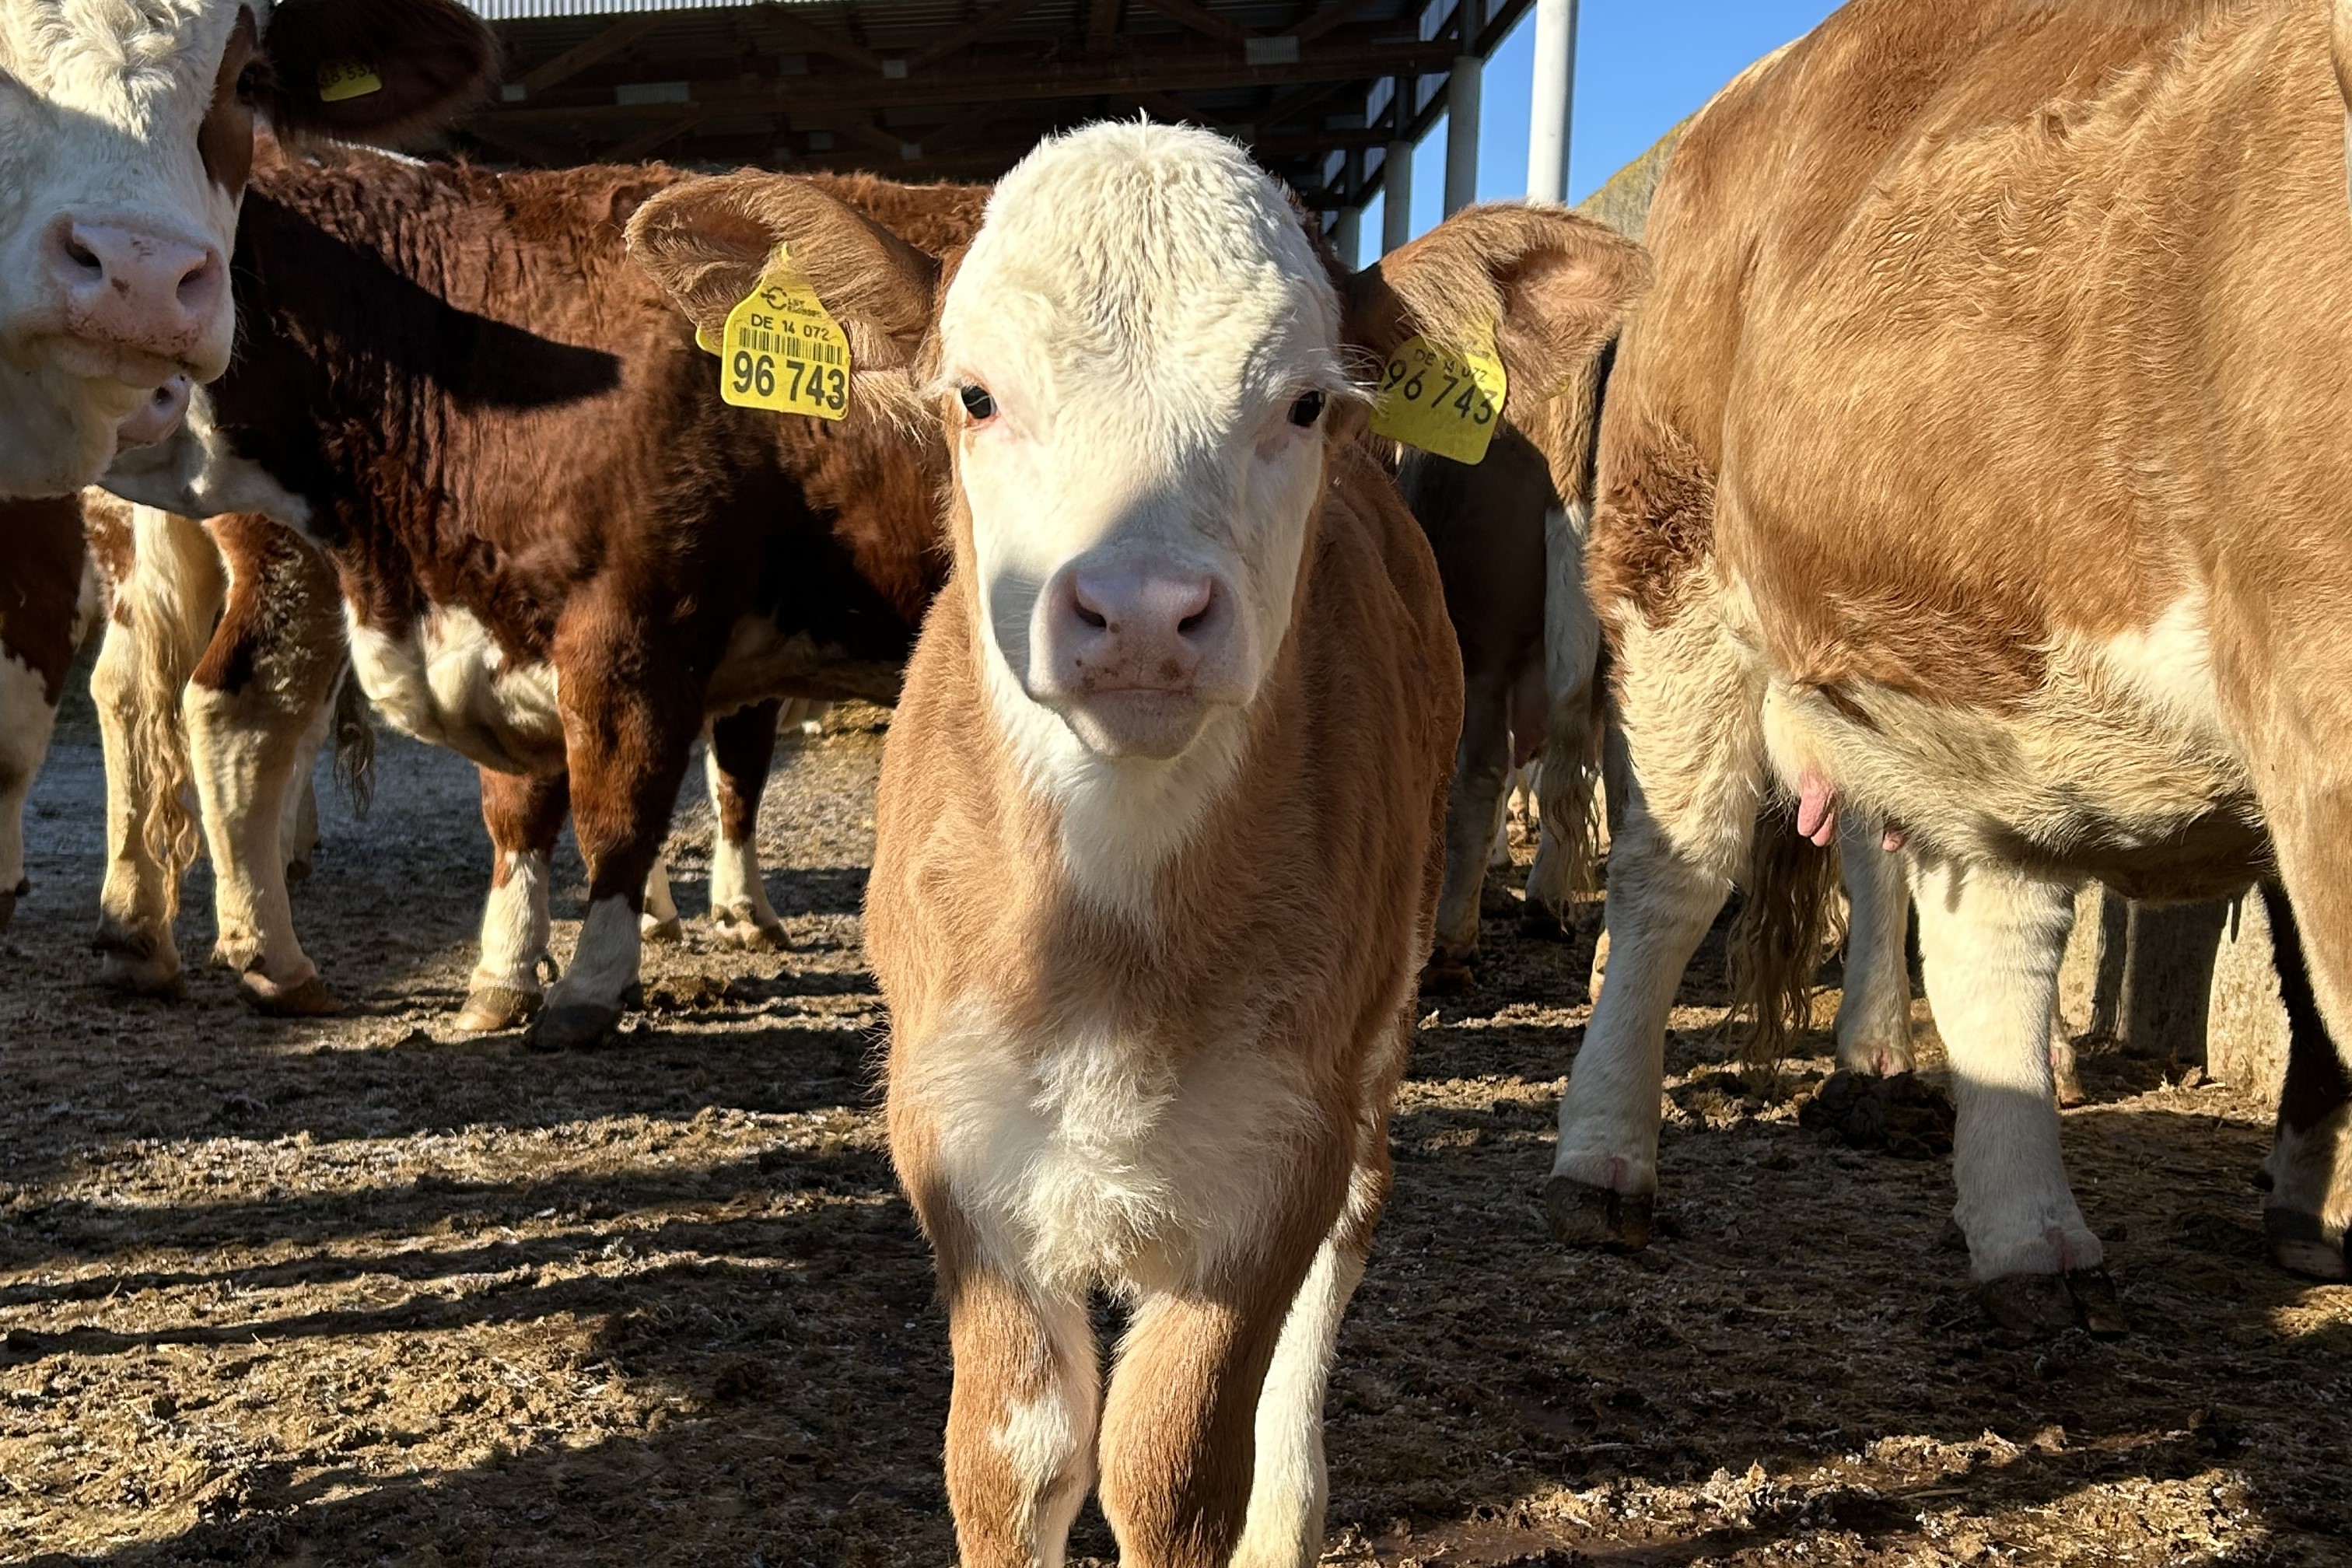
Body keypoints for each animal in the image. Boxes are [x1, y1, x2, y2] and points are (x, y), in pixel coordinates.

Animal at [96, 150, 978, 1043]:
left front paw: (588, 984)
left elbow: (619, 812)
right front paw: (505, 973)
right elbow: (523, 811)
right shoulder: (510, 639)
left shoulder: (628, 639)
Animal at [630, 122, 1636, 1568]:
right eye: (975, 396)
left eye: (1303, 405)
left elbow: (1171, 1469)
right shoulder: (951, 1131)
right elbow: (1012, 1464)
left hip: (1375, 1026)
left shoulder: (1275, 1147)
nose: (1145, 613)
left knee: (1350, 1230)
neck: (1105, 931)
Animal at [1542, 0, 2352, 1335]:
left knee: (1995, 910)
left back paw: (2032, 1242)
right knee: (1674, 872)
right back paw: (1602, 1167)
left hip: (1984, 654)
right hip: (1676, 569)